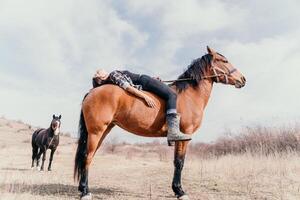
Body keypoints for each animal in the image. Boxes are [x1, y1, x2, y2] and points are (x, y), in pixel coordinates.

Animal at [74, 47, 246, 200]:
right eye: (224, 60)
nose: (243, 79)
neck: (189, 96)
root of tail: (92, 92)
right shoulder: (185, 135)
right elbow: (179, 162)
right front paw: (180, 192)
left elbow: (177, 161)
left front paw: (177, 190)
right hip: (96, 132)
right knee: (87, 156)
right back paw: (85, 192)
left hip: (103, 131)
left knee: (89, 157)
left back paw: (83, 189)